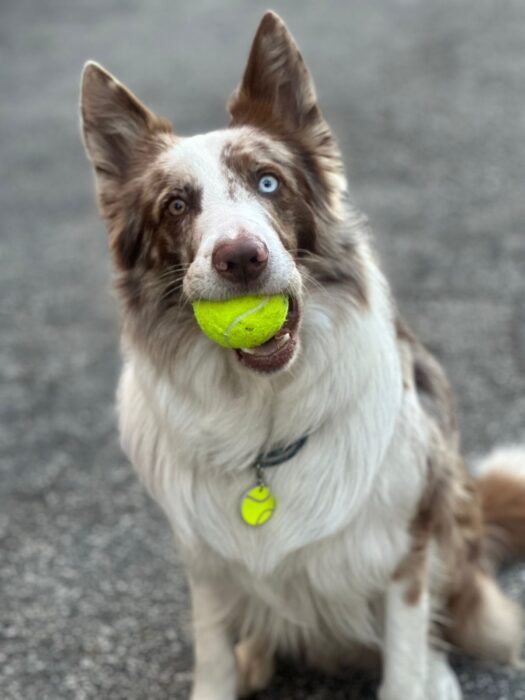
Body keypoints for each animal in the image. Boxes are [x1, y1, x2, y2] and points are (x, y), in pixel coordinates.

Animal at [80, 10, 524, 700]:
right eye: (176, 205)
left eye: (269, 182)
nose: (241, 257)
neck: (264, 417)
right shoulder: (205, 562)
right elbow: (212, 651)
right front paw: (227, 671)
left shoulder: (404, 549)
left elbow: (404, 658)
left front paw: (419, 675)